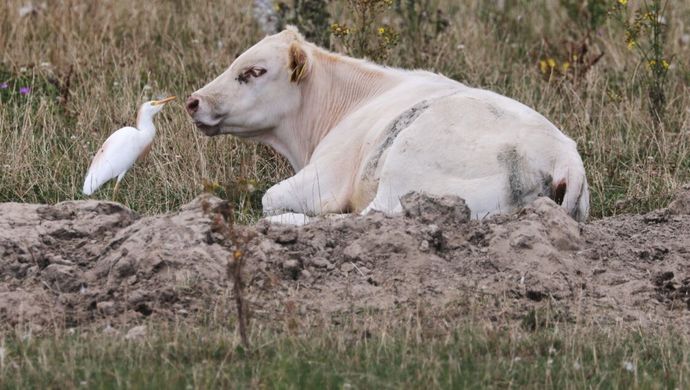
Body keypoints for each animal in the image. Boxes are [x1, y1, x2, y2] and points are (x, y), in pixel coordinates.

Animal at [185, 27, 588, 225]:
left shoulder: (325, 178)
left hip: (403, 174)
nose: (193, 101)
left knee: (362, 220)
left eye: (254, 71)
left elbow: (270, 197)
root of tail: (564, 156)